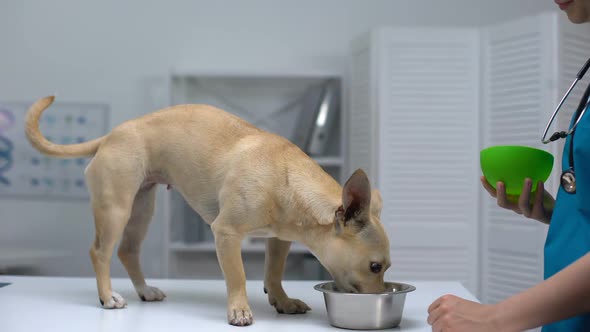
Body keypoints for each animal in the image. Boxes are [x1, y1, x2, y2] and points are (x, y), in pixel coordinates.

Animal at [25, 94, 390, 326]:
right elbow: (238, 275)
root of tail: (110, 136)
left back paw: (145, 290)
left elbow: (274, 272)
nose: (380, 295)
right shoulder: (226, 234)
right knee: (100, 251)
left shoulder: (278, 240)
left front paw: (282, 300)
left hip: (141, 209)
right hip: (116, 208)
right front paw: (239, 310)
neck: (286, 177)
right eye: (375, 267)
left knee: (128, 251)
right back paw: (107, 297)